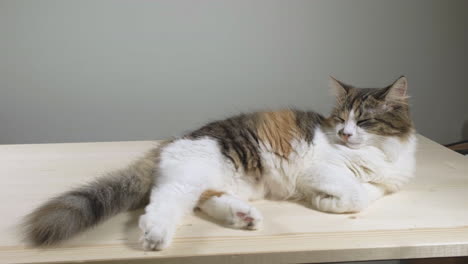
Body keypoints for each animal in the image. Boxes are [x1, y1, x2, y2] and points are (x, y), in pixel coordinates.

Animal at [22, 76, 416, 250]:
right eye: (340, 120)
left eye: (364, 121)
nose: (346, 134)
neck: (380, 151)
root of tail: (171, 142)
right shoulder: (318, 170)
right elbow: (355, 195)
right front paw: (326, 201)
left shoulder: (390, 181)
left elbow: (374, 190)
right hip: (187, 178)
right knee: (161, 205)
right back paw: (155, 235)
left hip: (222, 182)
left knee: (204, 200)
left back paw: (243, 217)